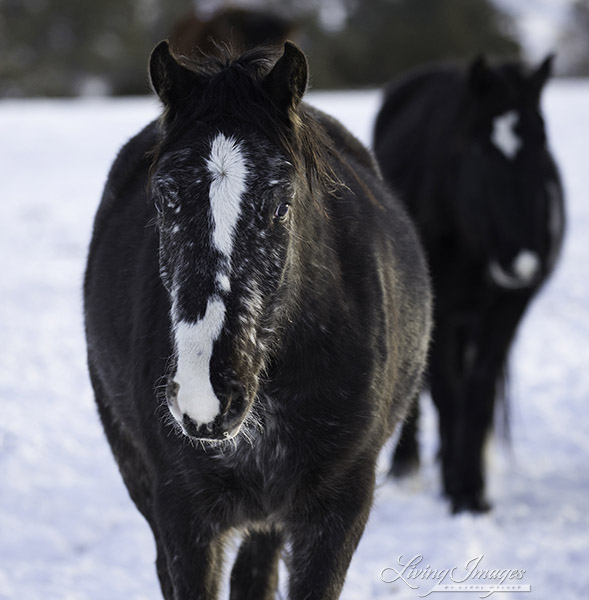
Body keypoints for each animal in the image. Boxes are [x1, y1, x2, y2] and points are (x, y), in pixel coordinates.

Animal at [372, 55, 564, 510]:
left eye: (542, 142)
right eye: (479, 149)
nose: (523, 259)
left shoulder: (506, 311)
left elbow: (478, 391)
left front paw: (472, 487)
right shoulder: (439, 308)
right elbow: (447, 391)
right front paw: (457, 489)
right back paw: (408, 464)